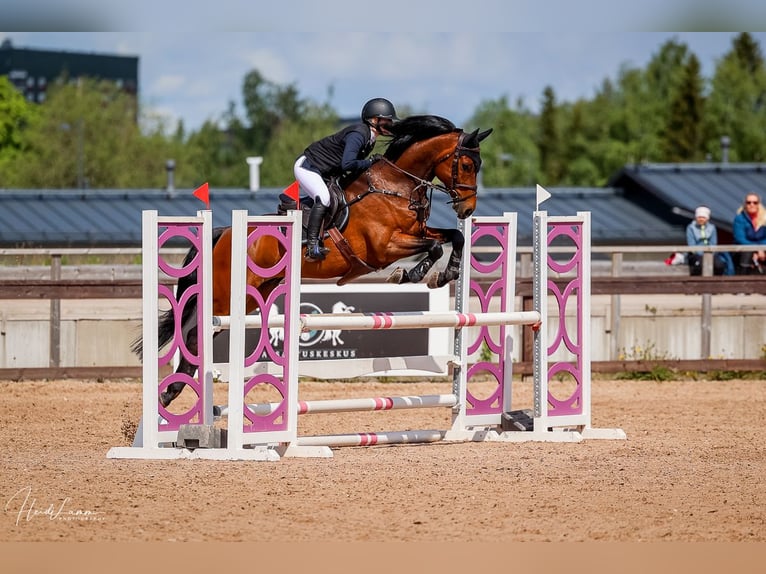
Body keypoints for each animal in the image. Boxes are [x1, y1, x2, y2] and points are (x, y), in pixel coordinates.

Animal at [134, 115, 492, 408]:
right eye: (467, 165)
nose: (467, 210)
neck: (394, 186)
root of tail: (222, 233)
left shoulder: (416, 232)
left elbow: (453, 237)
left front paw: (449, 272)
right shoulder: (383, 248)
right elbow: (432, 248)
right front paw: (411, 274)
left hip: (253, 297)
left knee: (203, 336)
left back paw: (173, 395)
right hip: (224, 297)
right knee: (195, 335)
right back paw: (171, 394)